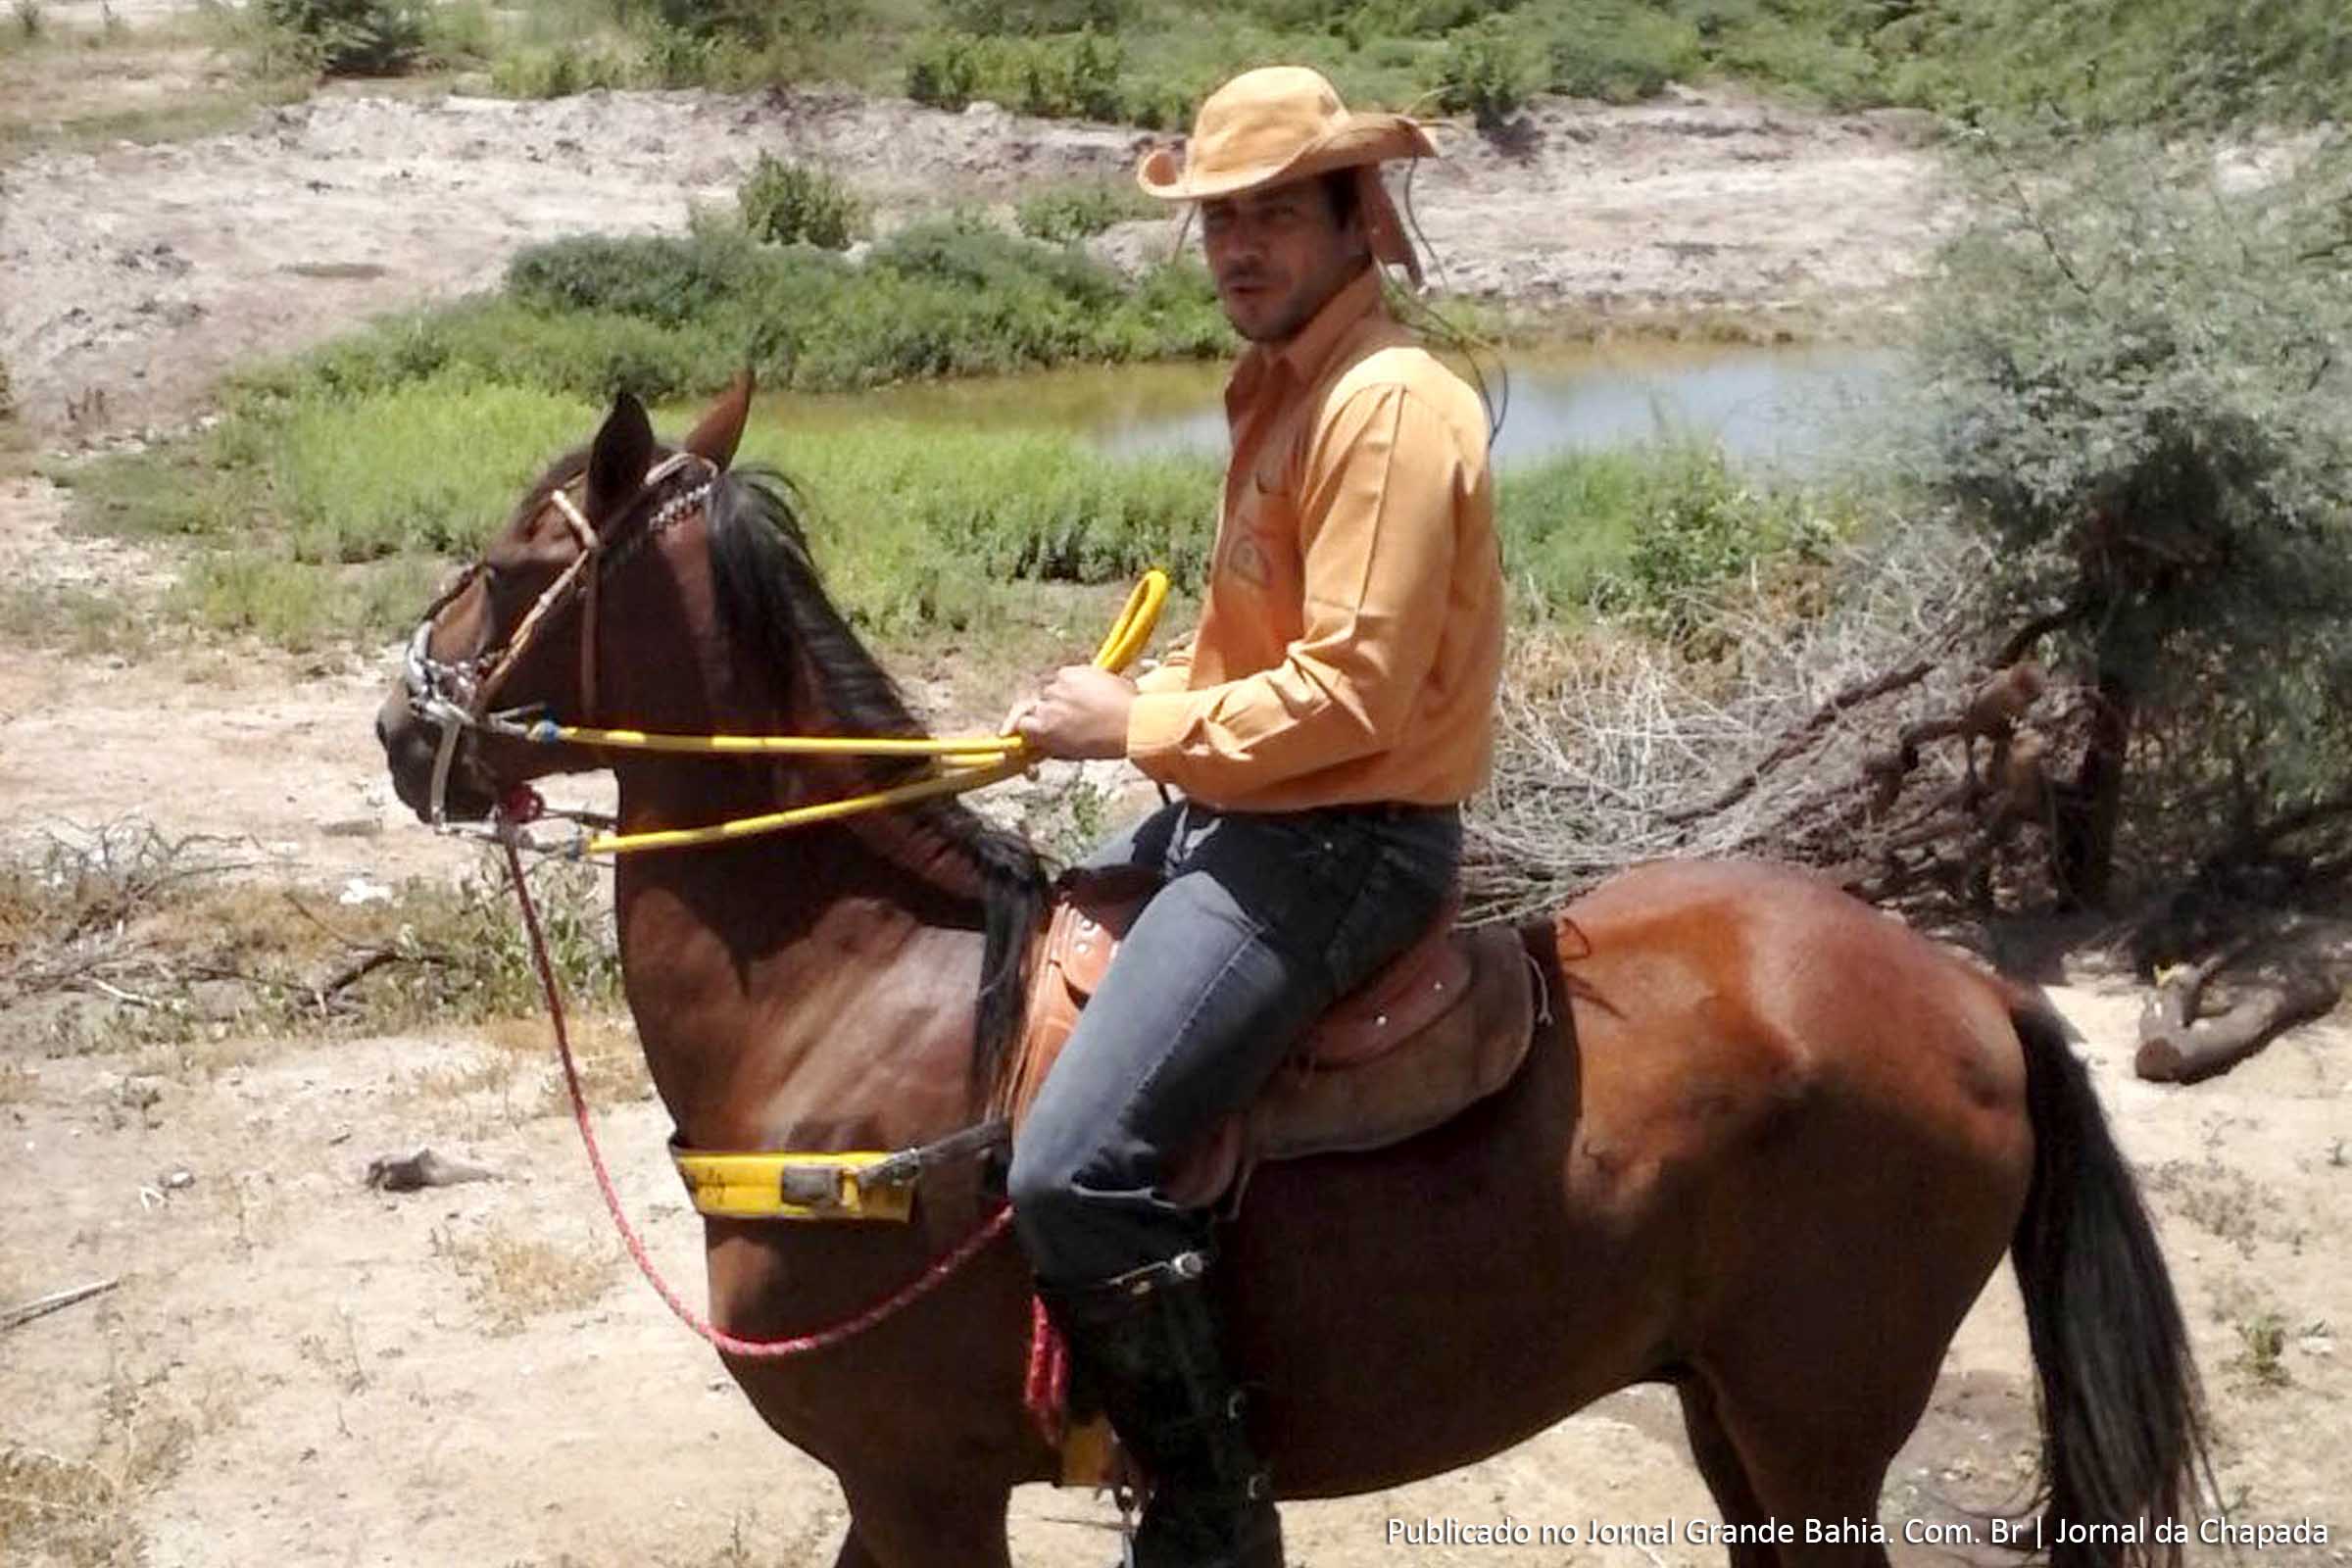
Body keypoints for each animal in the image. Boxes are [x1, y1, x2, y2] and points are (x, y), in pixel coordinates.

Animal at [375, 380, 2209, 1568]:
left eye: (516, 560)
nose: (401, 721)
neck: (855, 1000)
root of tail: (1976, 993)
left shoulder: (919, 1486)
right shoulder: (898, 1499)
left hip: (1813, 1421)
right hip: (1729, 1418)